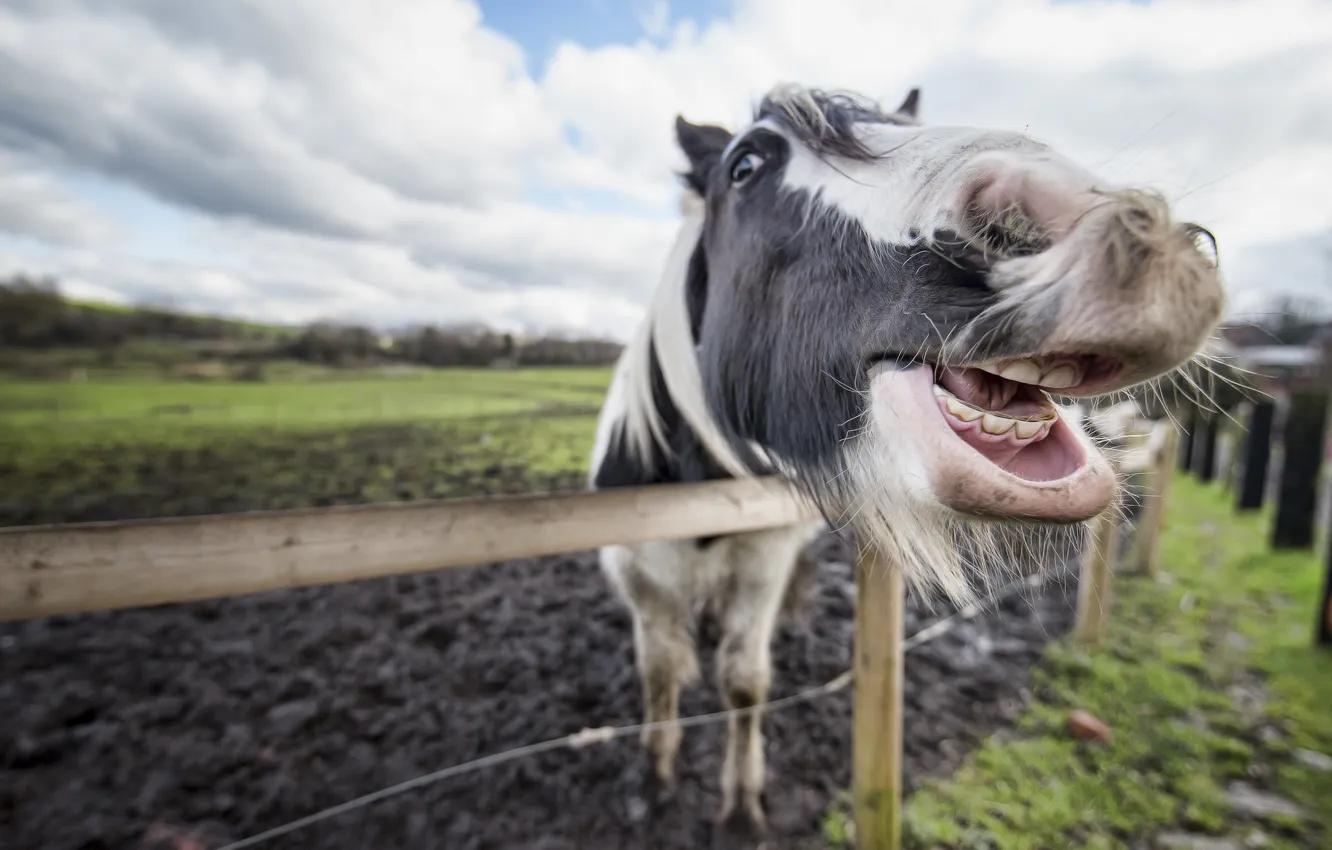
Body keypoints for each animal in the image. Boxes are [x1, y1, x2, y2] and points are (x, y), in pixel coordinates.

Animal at [587, 83, 1225, 828]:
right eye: (744, 166)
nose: (1094, 220)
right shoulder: (640, 575)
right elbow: (661, 672)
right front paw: (656, 777)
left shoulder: (763, 564)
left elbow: (744, 682)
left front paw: (741, 803)